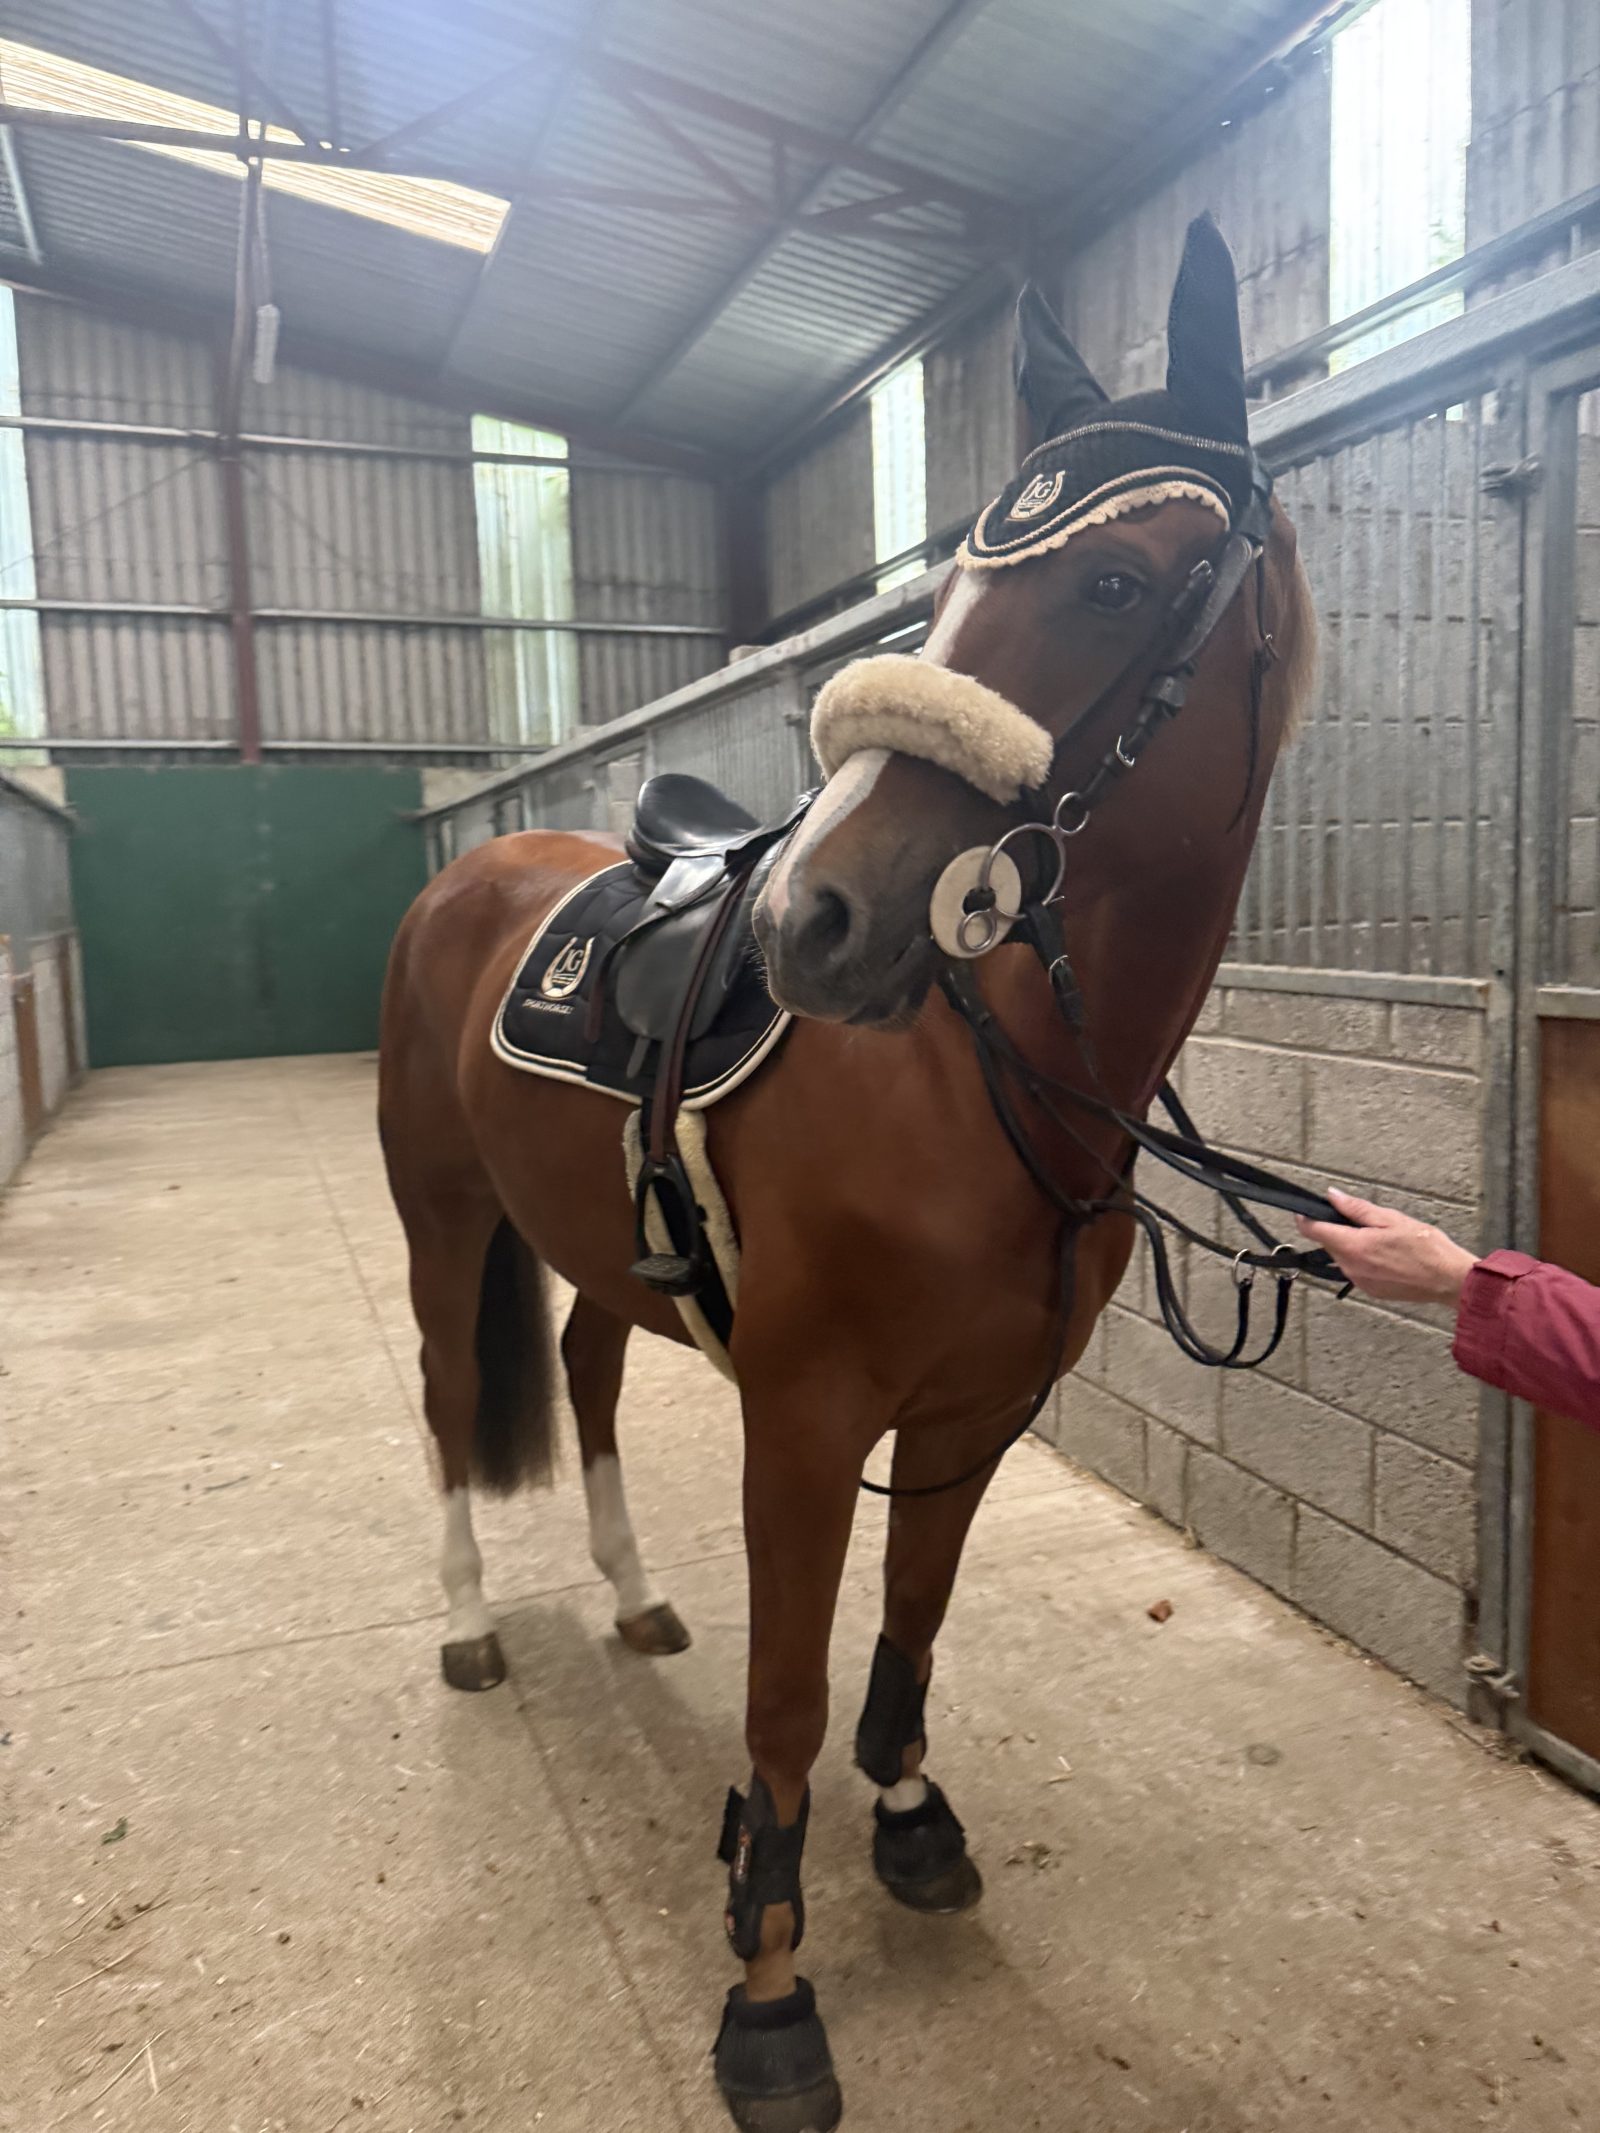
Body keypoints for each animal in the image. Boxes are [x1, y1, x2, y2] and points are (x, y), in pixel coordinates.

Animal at [378, 214, 1315, 2132]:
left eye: (1117, 586)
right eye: (948, 589)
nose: (817, 922)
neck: (974, 1074)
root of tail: (474, 870)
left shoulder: (972, 1413)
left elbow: (908, 1638)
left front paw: (908, 1818)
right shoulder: (807, 1421)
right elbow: (791, 1704)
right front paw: (768, 1985)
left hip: (593, 1246)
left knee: (584, 1367)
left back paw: (635, 1596)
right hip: (442, 1219)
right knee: (447, 1393)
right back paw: (471, 1625)